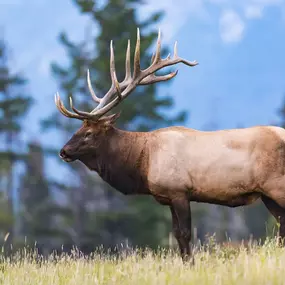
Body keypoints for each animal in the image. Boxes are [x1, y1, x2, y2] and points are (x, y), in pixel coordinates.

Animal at [54, 28, 284, 262]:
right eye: (78, 129)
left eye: (88, 133)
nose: (63, 151)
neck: (143, 162)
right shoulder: (168, 197)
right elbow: (177, 235)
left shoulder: (179, 191)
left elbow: (185, 234)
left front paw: (191, 263)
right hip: (267, 195)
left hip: (277, 185)